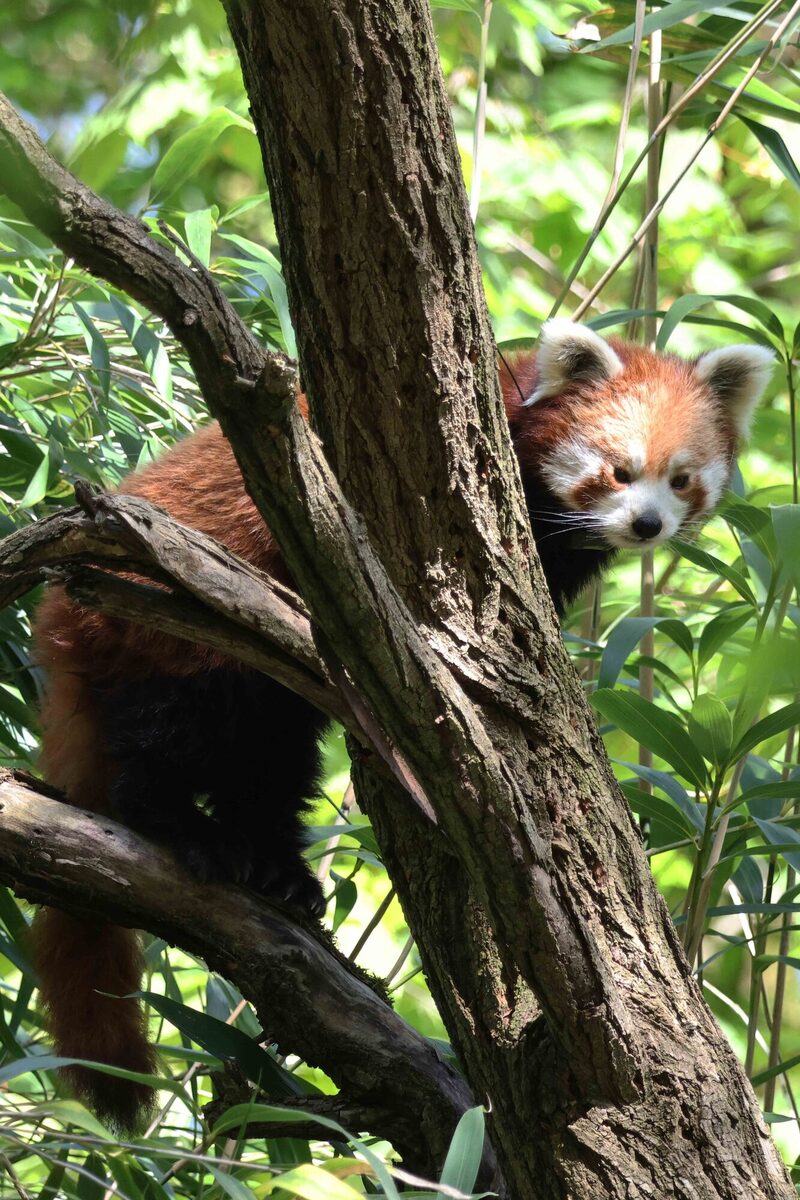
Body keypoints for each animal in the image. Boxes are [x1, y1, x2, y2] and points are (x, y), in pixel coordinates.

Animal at [29, 319, 767, 1123]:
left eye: (681, 478)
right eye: (618, 471)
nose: (647, 523)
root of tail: (58, 625)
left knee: (272, 769)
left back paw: (279, 871)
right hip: (167, 631)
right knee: (163, 742)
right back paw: (184, 830)